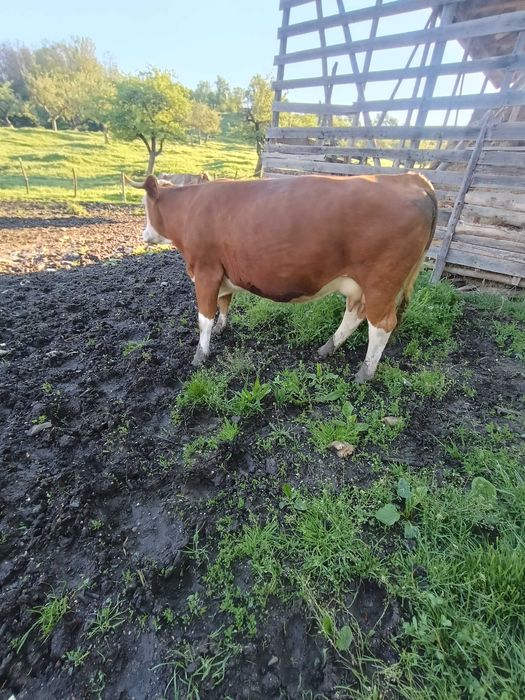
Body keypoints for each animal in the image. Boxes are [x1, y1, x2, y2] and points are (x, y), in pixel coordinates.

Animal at [128, 173, 437, 382]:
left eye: (144, 206)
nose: (143, 235)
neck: (192, 207)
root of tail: (410, 178)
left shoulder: (206, 270)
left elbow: (204, 317)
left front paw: (200, 355)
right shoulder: (222, 272)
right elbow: (225, 303)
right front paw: (221, 329)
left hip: (382, 282)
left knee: (381, 325)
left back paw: (365, 372)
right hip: (361, 285)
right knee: (354, 316)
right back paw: (327, 348)